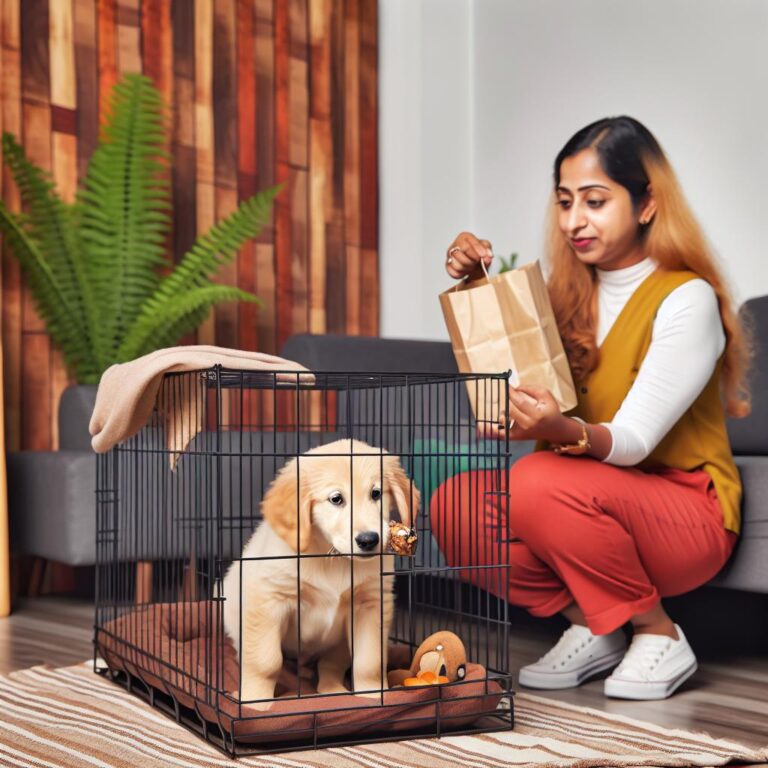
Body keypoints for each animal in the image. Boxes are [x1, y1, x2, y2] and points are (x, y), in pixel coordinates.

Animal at [222, 438, 420, 708]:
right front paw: (255, 704)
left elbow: (369, 661)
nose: (369, 540)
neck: (333, 558)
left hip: (337, 645)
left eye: (376, 493)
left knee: (330, 666)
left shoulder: (370, 604)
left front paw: (371, 696)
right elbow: (266, 661)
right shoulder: (269, 600)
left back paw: (333, 691)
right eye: (336, 499)